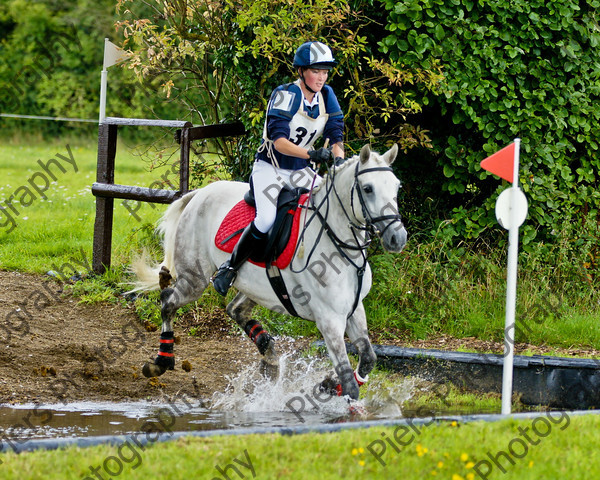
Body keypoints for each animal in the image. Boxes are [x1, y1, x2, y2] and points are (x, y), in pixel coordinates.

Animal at [131, 143, 408, 402]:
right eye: (368, 188)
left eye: (396, 187)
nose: (398, 238)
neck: (337, 242)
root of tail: (199, 193)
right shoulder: (329, 318)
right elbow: (350, 383)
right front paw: (338, 394)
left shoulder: (353, 309)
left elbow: (369, 358)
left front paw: (329, 385)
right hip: (194, 280)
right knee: (168, 302)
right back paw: (161, 362)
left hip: (257, 287)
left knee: (234, 309)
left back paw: (269, 358)